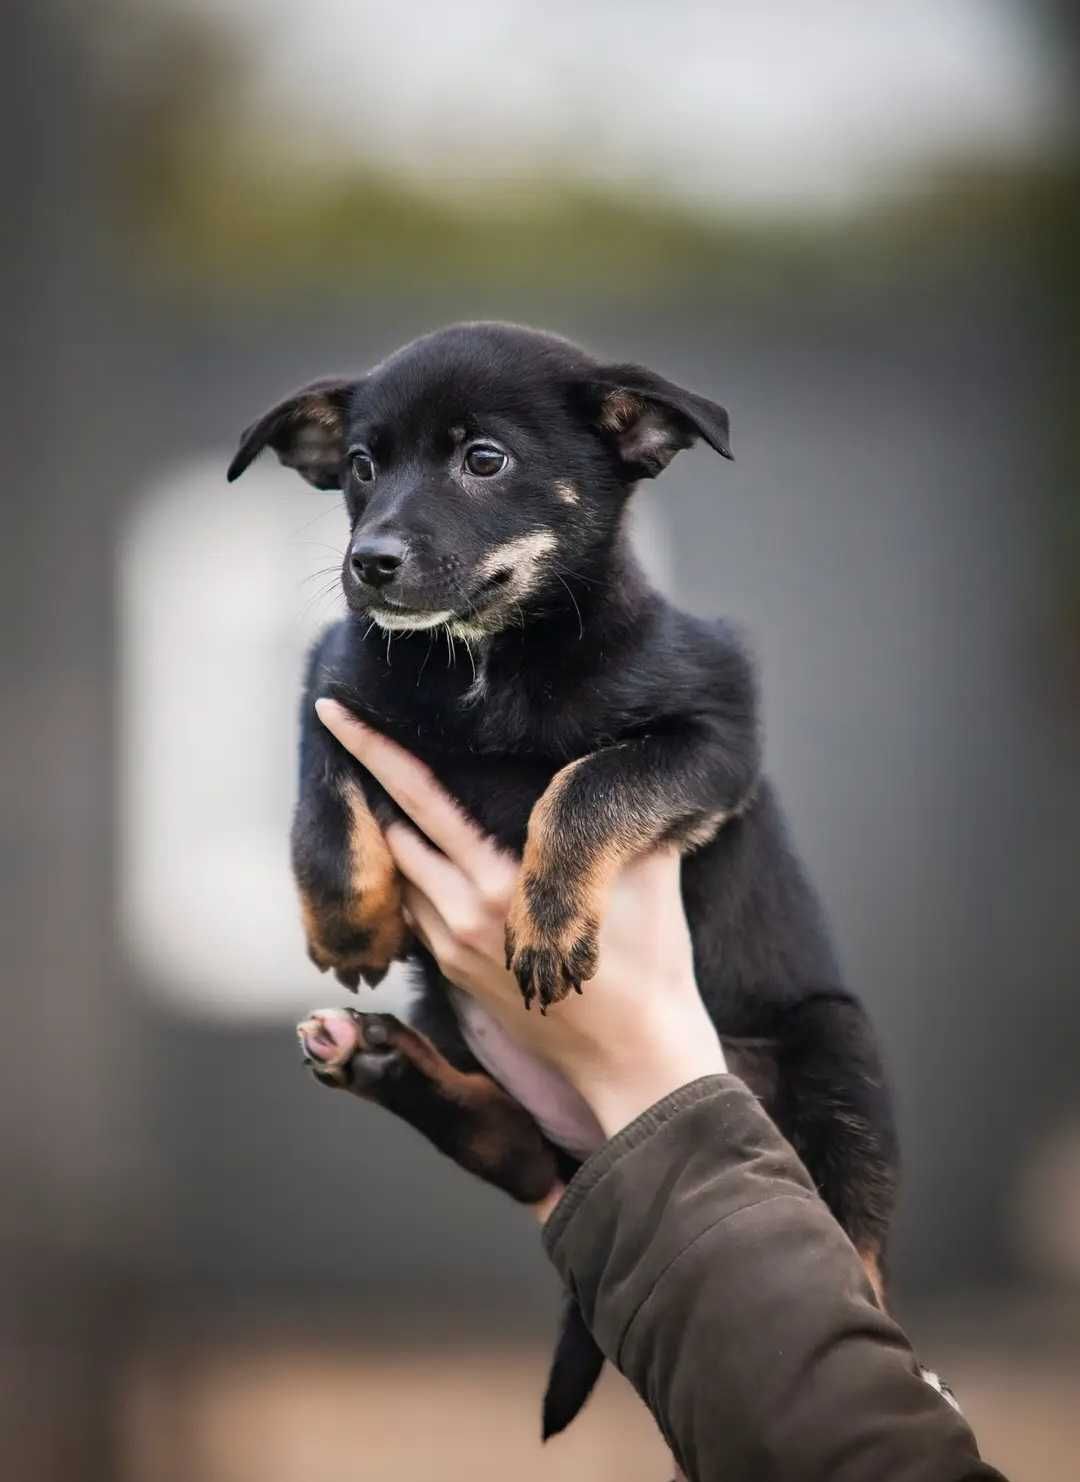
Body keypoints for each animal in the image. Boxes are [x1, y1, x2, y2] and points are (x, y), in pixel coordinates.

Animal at [231, 321, 894, 1434]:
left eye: (484, 460)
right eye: (361, 467)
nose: (369, 564)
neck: (487, 664)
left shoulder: (714, 735)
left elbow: (589, 783)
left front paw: (545, 922)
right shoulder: (336, 675)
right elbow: (322, 783)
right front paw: (348, 926)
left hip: (839, 1050)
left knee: (860, 1243)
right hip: (470, 1037)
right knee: (515, 1149)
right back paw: (378, 1060)